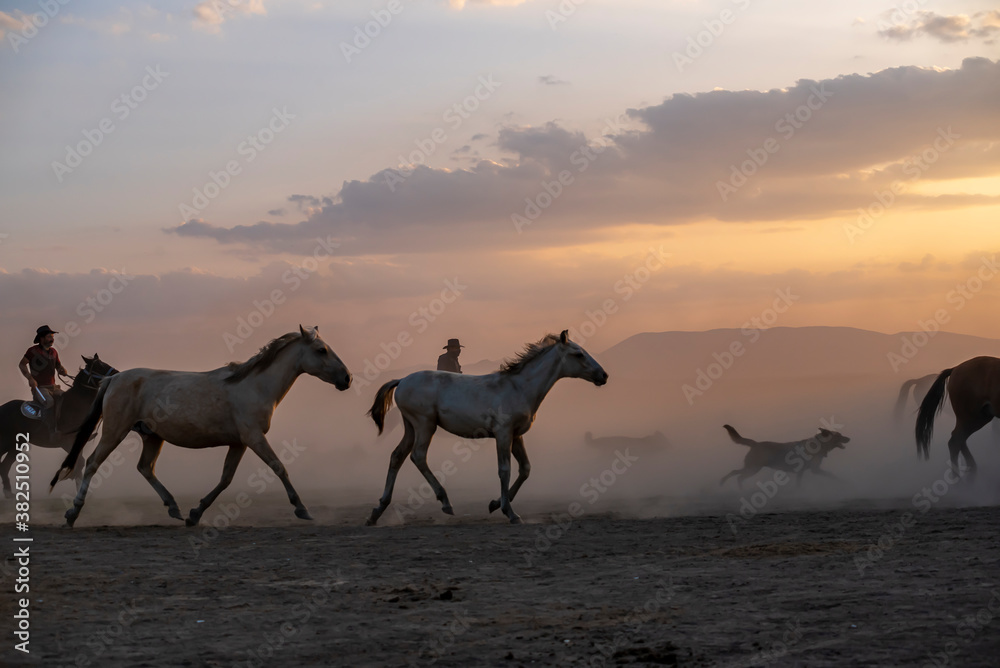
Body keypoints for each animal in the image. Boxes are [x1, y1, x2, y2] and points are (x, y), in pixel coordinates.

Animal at [53, 328, 356, 528]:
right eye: (321, 350)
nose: (347, 378)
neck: (255, 386)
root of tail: (113, 380)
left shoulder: (239, 442)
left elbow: (225, 479)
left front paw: (195, 513)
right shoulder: (254, 437)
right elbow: (279, 467)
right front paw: (302, 509)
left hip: (152, 437)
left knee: (145, 468)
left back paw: (174, 507)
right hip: (115, 431)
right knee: (92, 463)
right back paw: (72, 514)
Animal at [364, 332, 604, 524]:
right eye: (579, 354)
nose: (603, 375)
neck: (519, 388)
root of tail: (402, 380)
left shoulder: (516, 435)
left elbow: (525, 468)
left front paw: (495, 504)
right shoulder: (503, 434)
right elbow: (504, 470)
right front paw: (510, 512)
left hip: (410, 427)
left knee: (397, 456)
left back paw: (377, 511)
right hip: (425, 424)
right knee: (418, 456)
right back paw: (445, 502)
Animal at [720, 426, 852, 488]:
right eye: (839, 436)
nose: (849, 438)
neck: (819, 445)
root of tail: (756, 443)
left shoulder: (801, 471)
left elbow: (798, 484)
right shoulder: (816, 470)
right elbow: (832, 475)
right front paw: (844, 482)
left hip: (752, 468)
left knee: (737, 475)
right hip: (753, 468)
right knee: (737, 475)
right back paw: (728, 484)